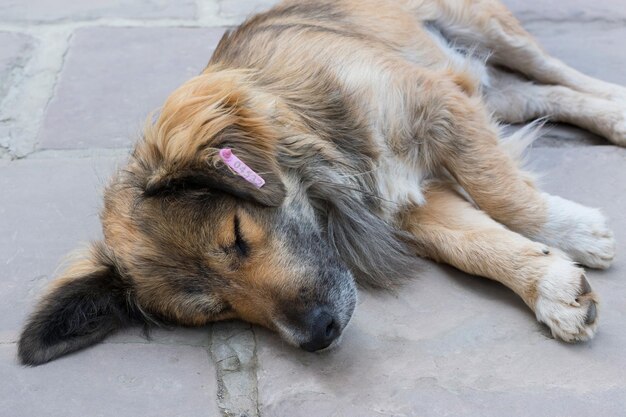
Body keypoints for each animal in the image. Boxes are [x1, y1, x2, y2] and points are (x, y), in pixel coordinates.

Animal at [17, 0, 620, 364]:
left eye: (237, 235)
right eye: (217, 311)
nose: (317, 335)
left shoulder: (437, 103)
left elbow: (503, 195)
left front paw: (575, 230)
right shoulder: (405, 202)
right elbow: (471, 242)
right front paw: (549, 284)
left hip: (482, 27)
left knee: (554, 72)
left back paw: (616, 105)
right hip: (483, 84)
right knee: (536, 96)